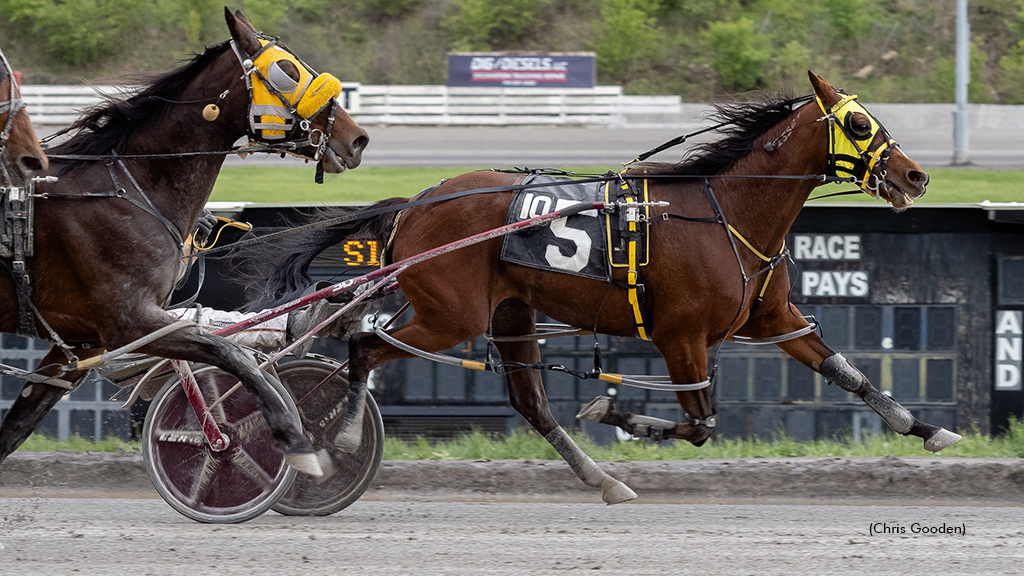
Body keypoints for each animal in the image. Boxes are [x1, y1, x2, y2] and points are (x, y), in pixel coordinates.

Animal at [249, 71, 958, 502]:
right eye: (859, 126)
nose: (917, 176)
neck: (724, 211)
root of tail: (418, 202)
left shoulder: (772, 319)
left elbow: (846, 372)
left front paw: (926, 428)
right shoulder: (680, 336)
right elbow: (699, 423)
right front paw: (612, 411)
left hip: (510, 313)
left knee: (530, 403)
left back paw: (601, 479)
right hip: (451, 314)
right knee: (365, 346)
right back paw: (340, 438)